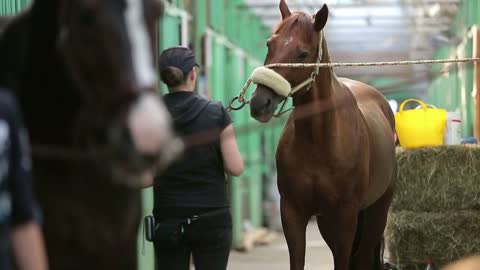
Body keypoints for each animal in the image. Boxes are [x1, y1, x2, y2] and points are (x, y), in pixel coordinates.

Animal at [249, 1, 396, 268]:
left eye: (302, 54)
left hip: (376, 212)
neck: (319, 141)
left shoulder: (345, 216)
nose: (259, 103)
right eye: (269, 43)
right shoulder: (293, 212)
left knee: (362, 256)